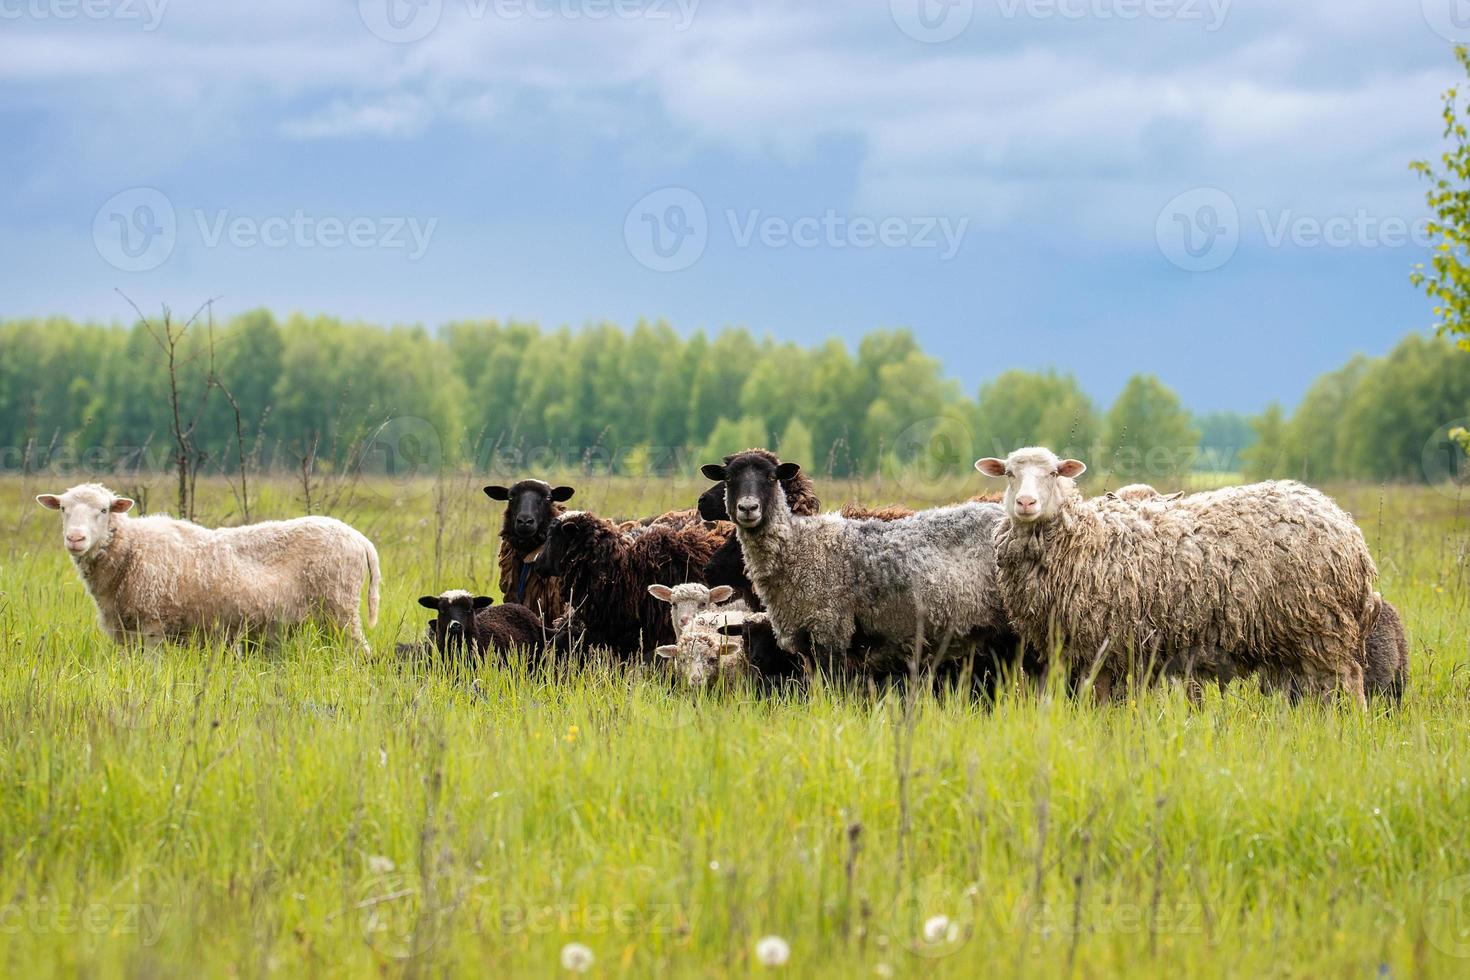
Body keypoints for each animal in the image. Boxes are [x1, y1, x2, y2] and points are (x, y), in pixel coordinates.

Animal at [40, 484, 385, 652]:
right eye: (63, 509)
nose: (75, 538)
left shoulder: (153, 624)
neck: (130, 551)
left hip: (339, 606)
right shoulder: (125, 632)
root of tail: (359, 539)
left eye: (103, 510)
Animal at [705, 449, 1017, 675]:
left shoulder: (831, 630)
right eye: (729, 478)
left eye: (772, 478)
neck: (800, 546)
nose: (748, 508)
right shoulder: (806, 641)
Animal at [976, 449, 1375, 708]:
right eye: (1009, 474)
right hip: (1303, 631)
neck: (1086, 536)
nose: (1026, 503)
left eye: (1054, 473)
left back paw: (1350, 728)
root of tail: (1344, 524)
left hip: (1322, 622)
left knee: (1350, 679)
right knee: (1320, 686)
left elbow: (1099, 697)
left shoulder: (1103, 638)